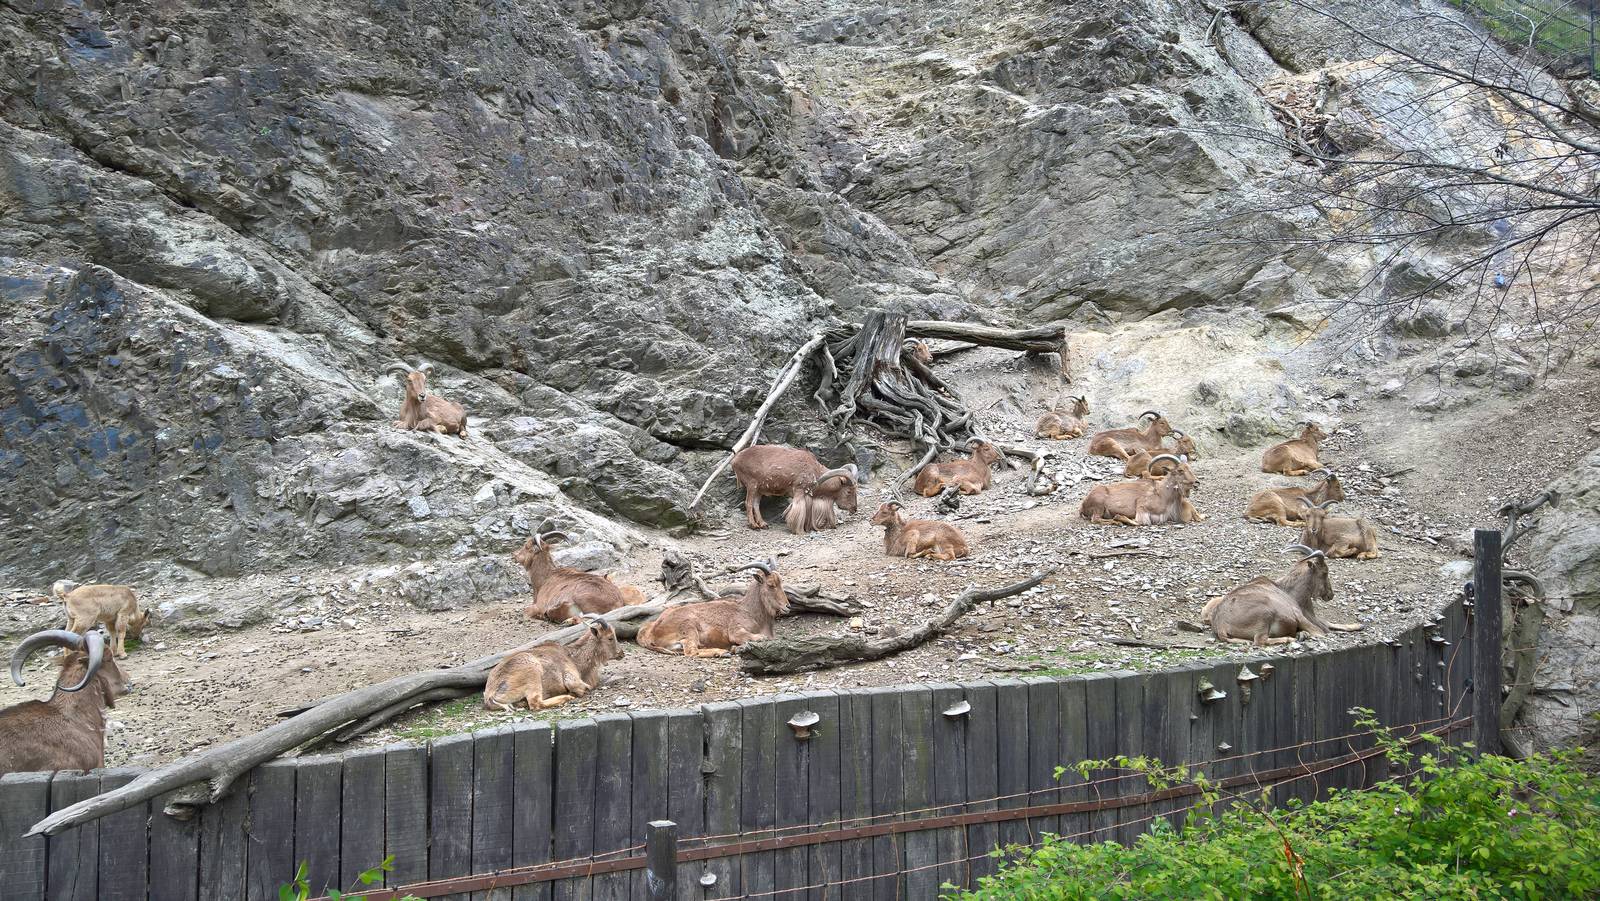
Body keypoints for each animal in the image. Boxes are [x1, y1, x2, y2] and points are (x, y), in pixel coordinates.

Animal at [482, 619, 623, 711]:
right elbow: (584, 688)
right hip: (532, 674)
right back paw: (566, 697)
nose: (621, 653)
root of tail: (490, 694)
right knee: (535, 703)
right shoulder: (572, 679)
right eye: (610, 638)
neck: (573, 658)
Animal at [513, 529, 647, 625]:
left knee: (592, 618)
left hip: (583, 598)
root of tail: (618, 603)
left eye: (526, 546)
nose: (514, 555)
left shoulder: (539, 606)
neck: (545, 578)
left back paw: (566, 620)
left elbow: (526, 612)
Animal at [637, 561, 788, 657]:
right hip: (689, 627)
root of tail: (652, 632)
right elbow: (758, 638)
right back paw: (722, 652)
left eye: (781, 582)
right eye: (771, 585)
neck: (749, 611)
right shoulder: (736, 631)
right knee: (692, 652)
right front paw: (735, 648)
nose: (787, 606)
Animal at [730, 445, 859, 531]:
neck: (815, 470)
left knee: (756, 504)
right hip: (752, 484)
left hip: (759, 489)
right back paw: (754, 525)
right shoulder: (799, 490)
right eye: (849, 491)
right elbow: (798, 509)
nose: (854, 508)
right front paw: (798, 529)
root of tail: (735, 460)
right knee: (748, 503)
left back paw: (763, 524)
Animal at [1202, 545, 1363, 646]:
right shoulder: (1298, 615)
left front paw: (1358, 625)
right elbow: (1321, 632)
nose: (1330, 594)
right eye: (1325, 572)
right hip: (1265, 614)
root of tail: (1220, 624)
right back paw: (1289, 639)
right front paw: (1303, 634)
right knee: (1260, 641)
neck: (1289, 592)